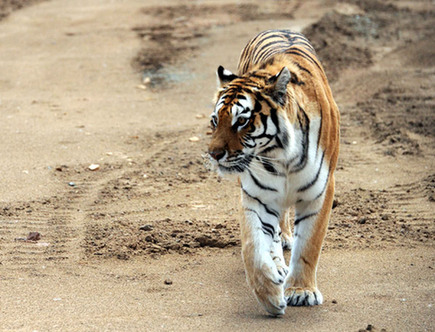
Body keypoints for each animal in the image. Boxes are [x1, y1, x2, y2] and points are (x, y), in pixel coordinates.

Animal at [208, 29, 340, 316]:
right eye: (215, 121)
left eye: (242, 121)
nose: (214, 154)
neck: (281, 157)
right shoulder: (257, 195)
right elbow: (253, 248)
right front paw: (270, 295)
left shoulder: (320, 192)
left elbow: (309, 246)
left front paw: (301, 291)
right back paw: (278, 263)